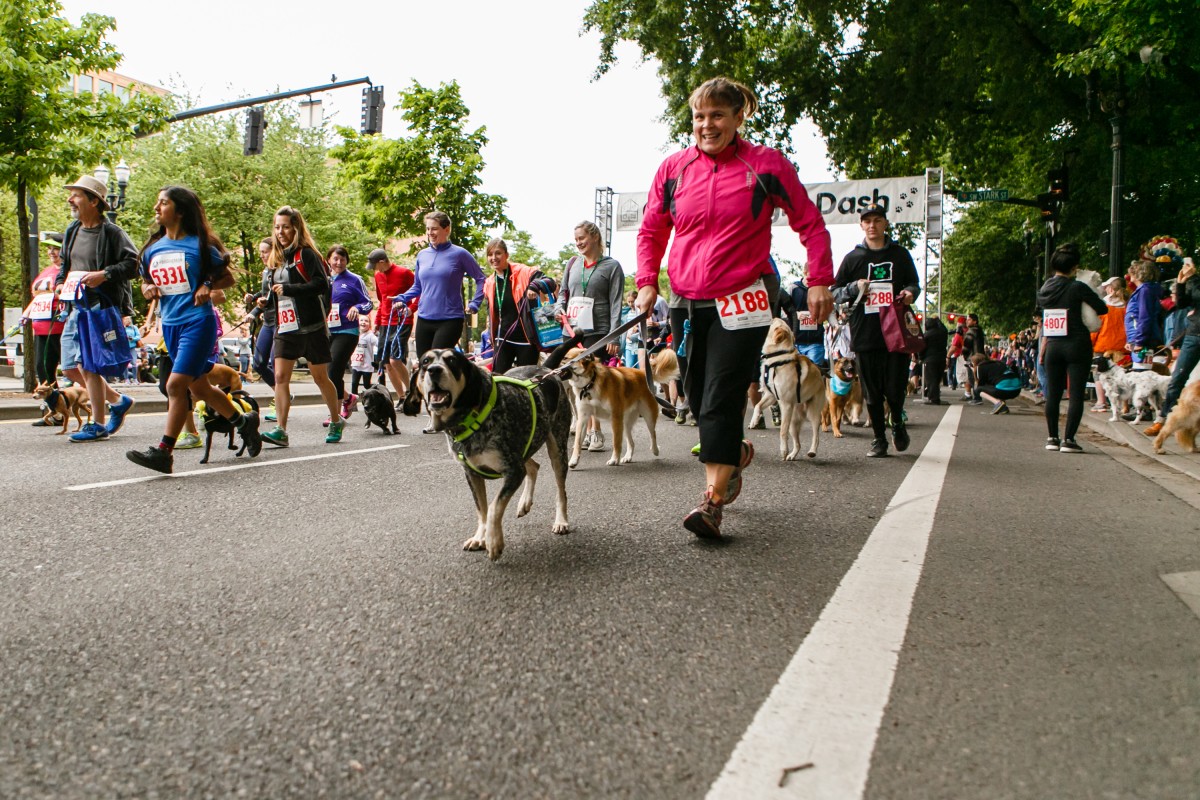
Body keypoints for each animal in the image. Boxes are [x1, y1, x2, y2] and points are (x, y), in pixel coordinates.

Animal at [407, 348, 571, 561]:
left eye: (452, 361)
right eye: (425, 361)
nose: (434, 370)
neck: (470, 418)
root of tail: (545, 370)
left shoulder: (513, 470)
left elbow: (494, 507)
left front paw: (494, 541)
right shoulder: (472, 474)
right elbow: (481, 509)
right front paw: (480, 536)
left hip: (557, 449)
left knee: (560, 490)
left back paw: (561, 521)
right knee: (534, 466)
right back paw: (524, 502)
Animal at [748, 318, 827, 460]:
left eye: (774, 323)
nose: (774, 317)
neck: (777, 359)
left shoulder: (785, 404)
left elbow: (782, 431)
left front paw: (783, 450)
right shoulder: (771, 395)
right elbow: (757, 405)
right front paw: (754, 421)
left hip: (812, 413)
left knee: (816, 435)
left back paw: (812, 451)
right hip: (793, 422)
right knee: (798, 443)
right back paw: (792, 455)